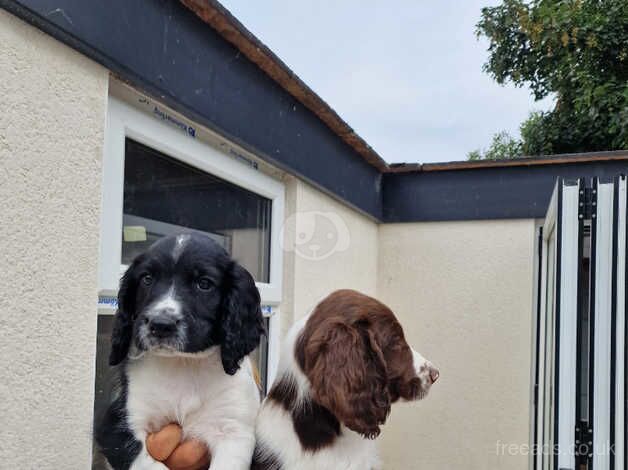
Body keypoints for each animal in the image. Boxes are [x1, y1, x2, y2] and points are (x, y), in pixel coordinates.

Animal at [95, 233, 264, 468]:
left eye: (204, 284)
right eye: (147, 279)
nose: (161, 324)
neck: (183, 364)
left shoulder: (234, 432)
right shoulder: (118, 426)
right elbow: (149, 463)